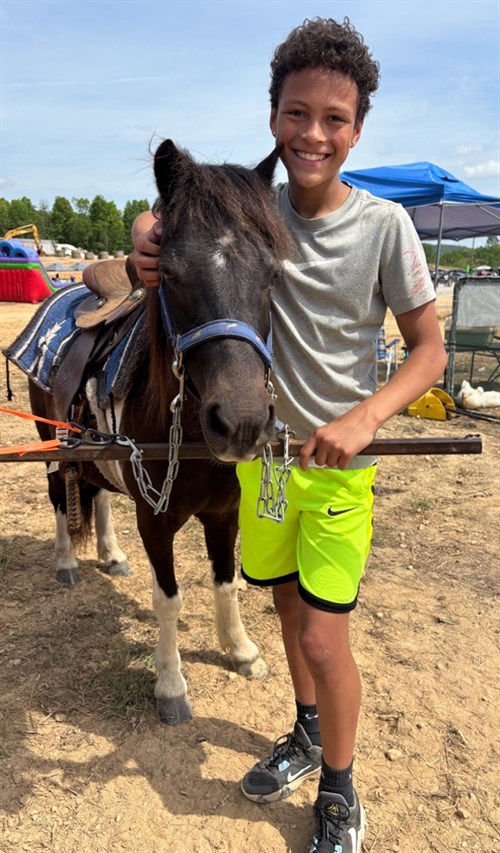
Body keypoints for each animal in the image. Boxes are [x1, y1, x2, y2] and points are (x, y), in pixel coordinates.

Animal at [26, 139, 292, 725]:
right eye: (168, 273)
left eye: (273, 275)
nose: (241, 421)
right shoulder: (156, 520)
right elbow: (168, 598)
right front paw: (171, 685)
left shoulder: (223, 513)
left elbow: (226, 583)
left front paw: (240, 650)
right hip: (52, 445)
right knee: (60, 495)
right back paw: (66, 562)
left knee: (100, 494)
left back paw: (111, 554)